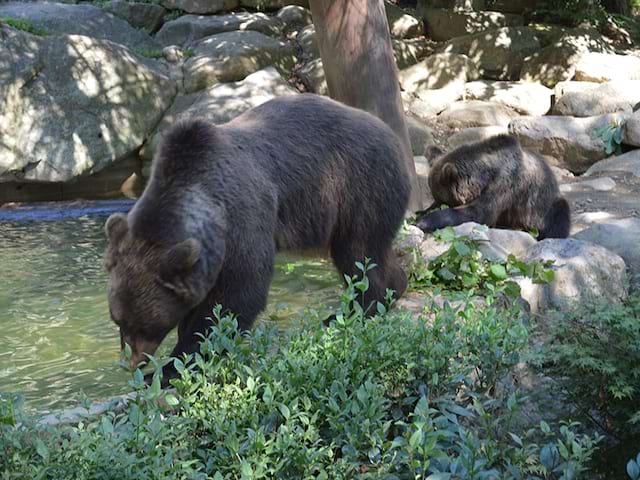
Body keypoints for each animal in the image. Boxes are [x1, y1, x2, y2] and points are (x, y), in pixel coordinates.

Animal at [102, 94, 408, 376]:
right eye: (118, 319)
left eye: (144, 324)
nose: (130, 363)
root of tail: (391, 134)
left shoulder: (242, 221)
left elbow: (236, 298)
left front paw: (173, 366)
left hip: (357, 185)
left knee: (358, 253)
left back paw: (353, 311)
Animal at [416, 134, 568, 239]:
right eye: (435, 197)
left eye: (444, 199)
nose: (436, 203)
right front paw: (421, 212)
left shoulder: (504, 184)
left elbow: (480, 213)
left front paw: (425, 221)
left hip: (545, 207)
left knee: (559, 218)